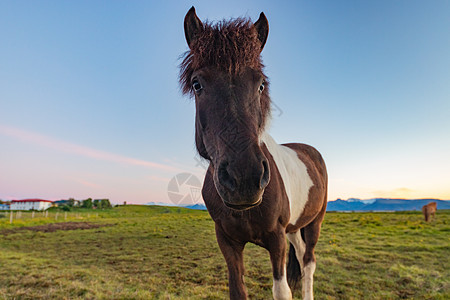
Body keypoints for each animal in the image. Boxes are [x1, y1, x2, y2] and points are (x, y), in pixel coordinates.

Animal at [179, 6, 326, 298]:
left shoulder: (277, 238)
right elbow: (237, 289)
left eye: (260, 85)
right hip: (295, 228)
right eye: (197, 84)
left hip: (314, 221)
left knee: (309, 263)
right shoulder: (227, 240)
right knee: (301, 255)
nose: (244, 179)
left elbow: (282, 290)